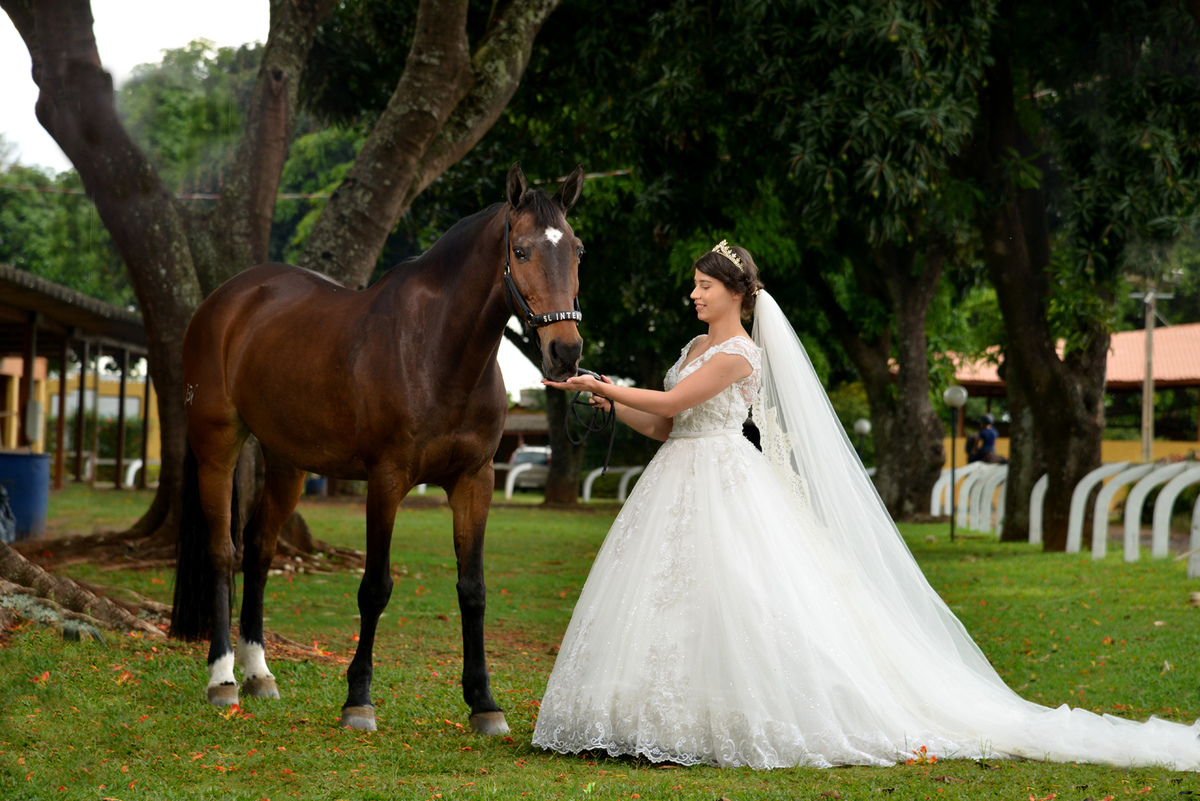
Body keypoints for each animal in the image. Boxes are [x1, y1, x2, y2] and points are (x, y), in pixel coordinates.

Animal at [169, 163, 585, 735]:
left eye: (578, 250)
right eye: (520, 251)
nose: (565, 352)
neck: (436, 350)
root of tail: (226, 299)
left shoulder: (474, 481)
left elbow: (472, 588)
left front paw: (484, 702)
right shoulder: (386, 481)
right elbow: (375, 588)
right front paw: (358, 699)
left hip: (288, 462)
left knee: (258, 548)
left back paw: (258, 674)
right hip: (217, 447)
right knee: (222, 551)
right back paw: (223, 678)